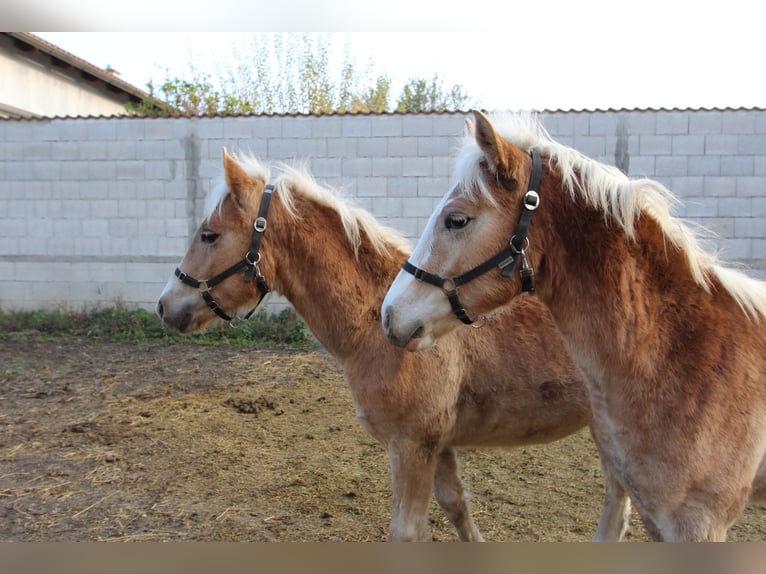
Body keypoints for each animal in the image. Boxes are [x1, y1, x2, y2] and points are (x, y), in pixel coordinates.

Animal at [156, 151, 632, 544]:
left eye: (209, 235)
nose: (165, 306)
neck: (374, 324)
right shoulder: (438, 447)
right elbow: (457, 508)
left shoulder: (411, 447)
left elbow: (406, 533)